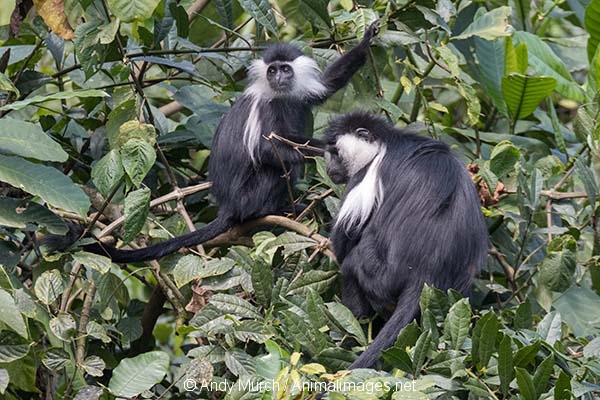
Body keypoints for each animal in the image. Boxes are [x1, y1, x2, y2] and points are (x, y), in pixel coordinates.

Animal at [324, 111, 488, 368]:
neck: (386, 143)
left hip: (379, 275)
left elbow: (344, 237)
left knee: (352, 265)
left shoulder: (366, 174)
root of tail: (425, 272)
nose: (329, 167)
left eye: (335, 152)